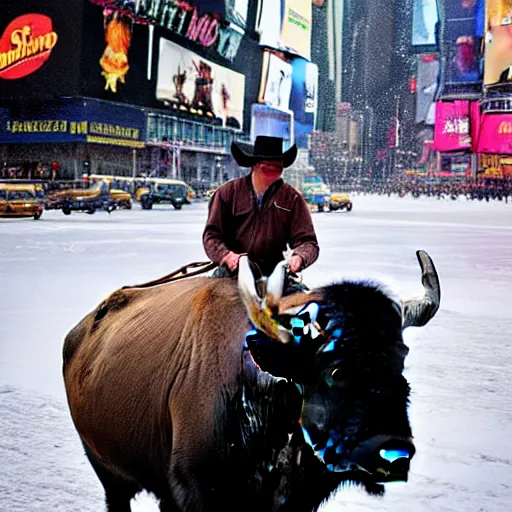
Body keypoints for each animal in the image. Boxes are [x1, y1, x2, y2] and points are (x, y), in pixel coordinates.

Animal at [63, 251, 440, 512]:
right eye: (333, 370)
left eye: (400, 364)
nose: (393, 453)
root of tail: (79, 332)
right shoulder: (197, 491)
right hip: (108, 472)